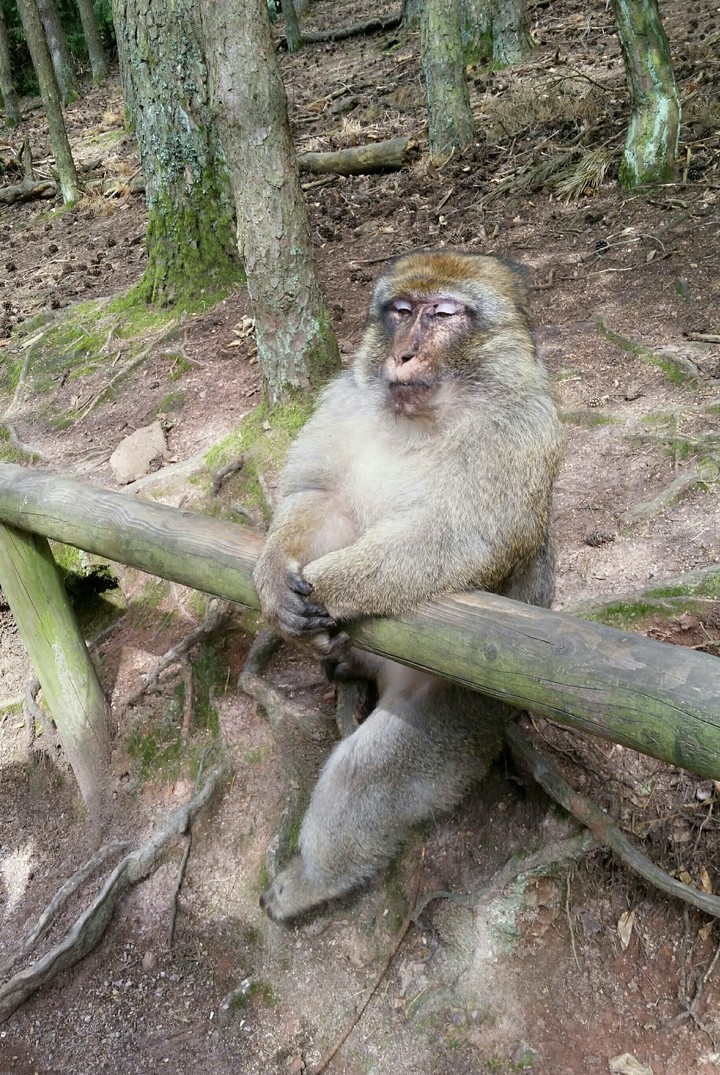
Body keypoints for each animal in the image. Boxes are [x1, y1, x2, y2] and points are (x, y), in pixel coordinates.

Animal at [252, 249, 563, 922]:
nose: (405, 354)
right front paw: (273, 574)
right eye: (400, 311)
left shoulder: (521, 428)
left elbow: (461, 540)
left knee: (368, 774)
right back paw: (344, 664)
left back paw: (312, 882)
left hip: (463, 716)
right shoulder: (344, 400)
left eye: (442, 313)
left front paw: (334, 584)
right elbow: (319, 497)